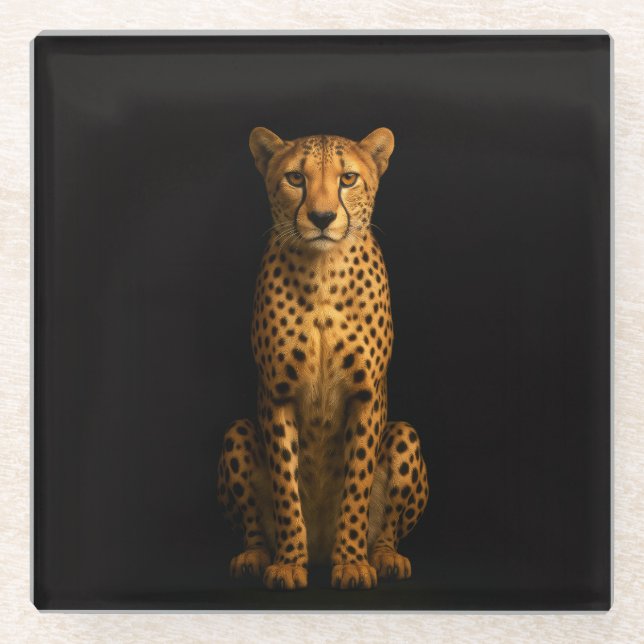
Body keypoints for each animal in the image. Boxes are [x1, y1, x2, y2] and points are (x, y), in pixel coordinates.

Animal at [216, 127, 429, 591]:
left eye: (348, 178)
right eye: (296, 178)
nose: (322, 217)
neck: (323, 272)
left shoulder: (366, 395)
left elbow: (356, 482)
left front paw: (351, 562)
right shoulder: (277, 394)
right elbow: (285, 484)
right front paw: (288, 562)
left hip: (405, 433)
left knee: (387, 529)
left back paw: (384, 557)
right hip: (237, 430)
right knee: (253, 526)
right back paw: (256, 556)